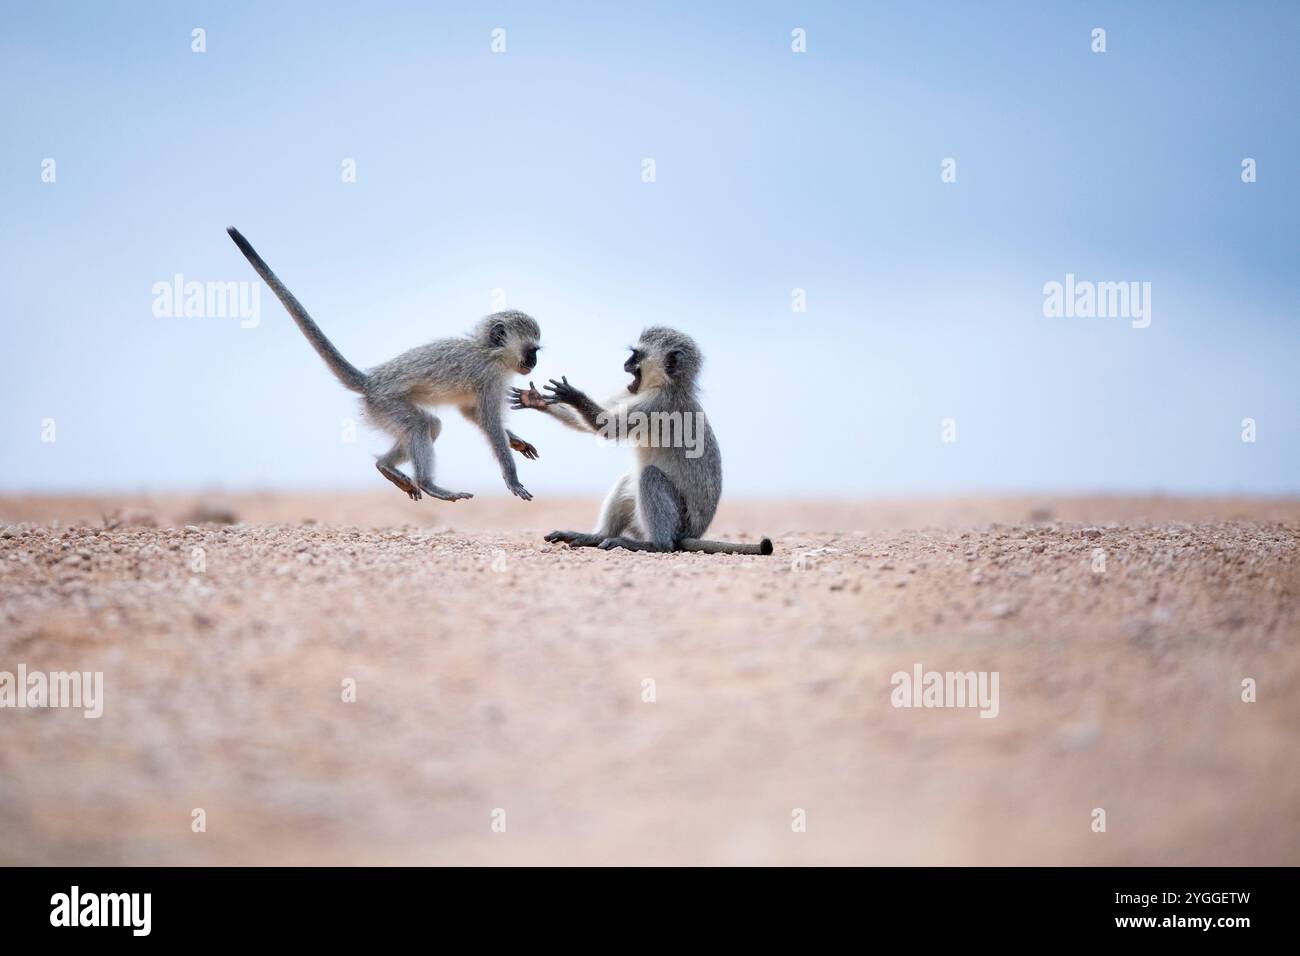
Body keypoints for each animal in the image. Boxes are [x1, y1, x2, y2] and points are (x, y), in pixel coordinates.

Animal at [227, 227, 539, 503]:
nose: (534, 363)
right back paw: (428, 484)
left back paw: (386, 466)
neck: (488, 351)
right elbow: (489, 424)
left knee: (429, 426)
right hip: (384, 403)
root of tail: (371, 381)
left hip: (380, 409)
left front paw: (515, 440)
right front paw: (513, 478)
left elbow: (471, 412)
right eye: (531, 351)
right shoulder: (489, 376)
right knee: (420, 425)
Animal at [509, 327, 772, 555]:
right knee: (629, 480)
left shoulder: (655, 404)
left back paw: (654, 544)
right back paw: (595, 536)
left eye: (636, 355)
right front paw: (535, 400)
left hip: (679, 522)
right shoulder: (632, 393)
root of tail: (693, 533)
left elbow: (607, 427)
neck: (668, 384)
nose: (625, 364)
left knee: (649, 477)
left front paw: (573, 395)